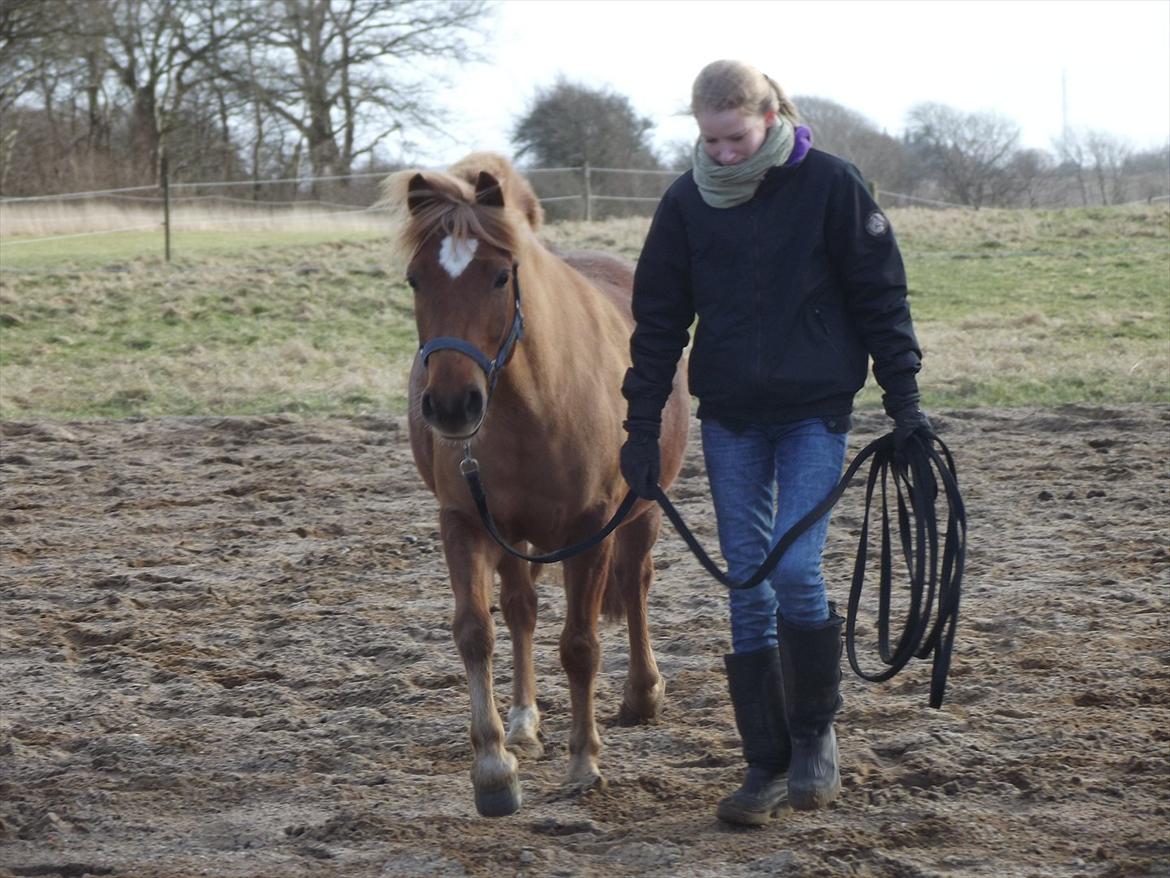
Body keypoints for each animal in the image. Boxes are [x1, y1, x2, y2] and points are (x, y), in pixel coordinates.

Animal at [383, 153, 687, 819]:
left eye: (501, 277)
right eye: (416, 280)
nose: (452, 406)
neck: (536, 403)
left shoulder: (591, 529)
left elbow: (580, 645)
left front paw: (584, 763)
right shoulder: (465, 522)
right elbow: (476, 632)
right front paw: (495, 768)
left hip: (642, 510)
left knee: (636, 581)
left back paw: (642, 692)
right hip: (512, 535)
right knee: (521, 609)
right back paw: (523, 721)